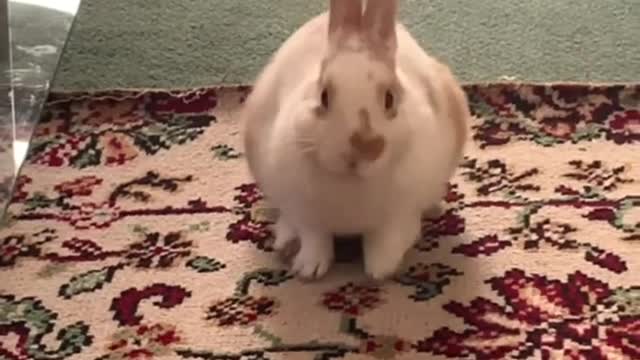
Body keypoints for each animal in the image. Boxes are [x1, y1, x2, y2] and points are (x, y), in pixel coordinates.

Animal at [242, 0, 468, 280]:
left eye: (390, 99)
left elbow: (385, 241)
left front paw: (380, 270)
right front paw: (309, 269)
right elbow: (315, 238)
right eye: (324, 96)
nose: (365, 147)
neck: (351, 182)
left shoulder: (398, 216)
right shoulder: (305, 214)